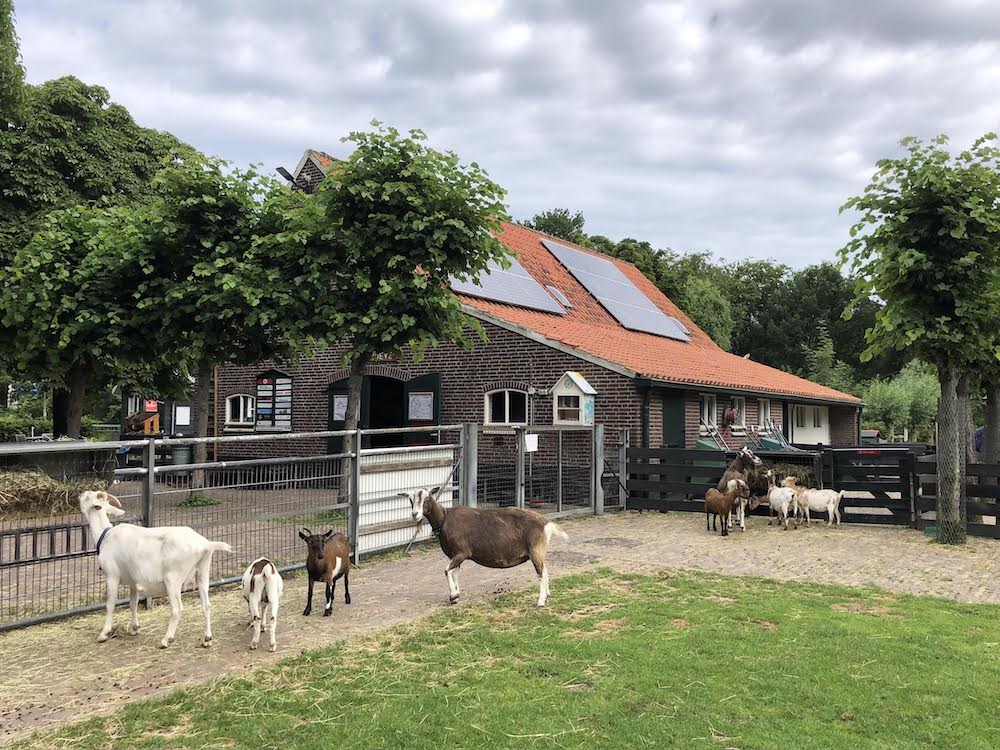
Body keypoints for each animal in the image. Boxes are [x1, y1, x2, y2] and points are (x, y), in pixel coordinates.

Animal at [80, 490, 232, 648]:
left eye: (88, 497)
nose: (82, 493)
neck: (105, 535)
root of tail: (206, 545)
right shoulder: (133, 582)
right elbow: (133, 604)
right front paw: (134, 628)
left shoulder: (112, 575)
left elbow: (110, 605)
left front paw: (104, 634)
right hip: (202, 572)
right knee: (206, 605)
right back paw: (207, 639)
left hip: (173, 579)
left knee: (177, 609)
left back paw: (166, 639)